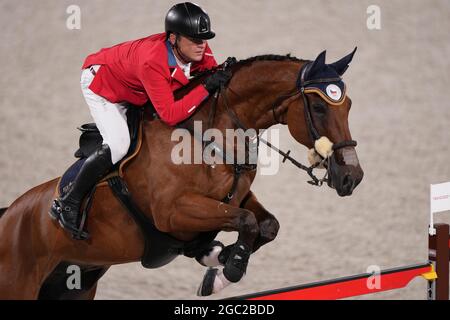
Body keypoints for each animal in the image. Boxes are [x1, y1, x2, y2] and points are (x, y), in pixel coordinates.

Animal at [0, 48, 362, 298]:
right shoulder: (173, 212)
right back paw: (67, 211)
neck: (210, 134)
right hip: (20, 284)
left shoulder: (236, 196)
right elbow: (245, 221)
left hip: (76, 283)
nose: (352, 177)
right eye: (319, 107)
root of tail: (9, 216)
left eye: (348, 106)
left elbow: (267, 224)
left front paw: (217, 262)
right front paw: (227, 267)